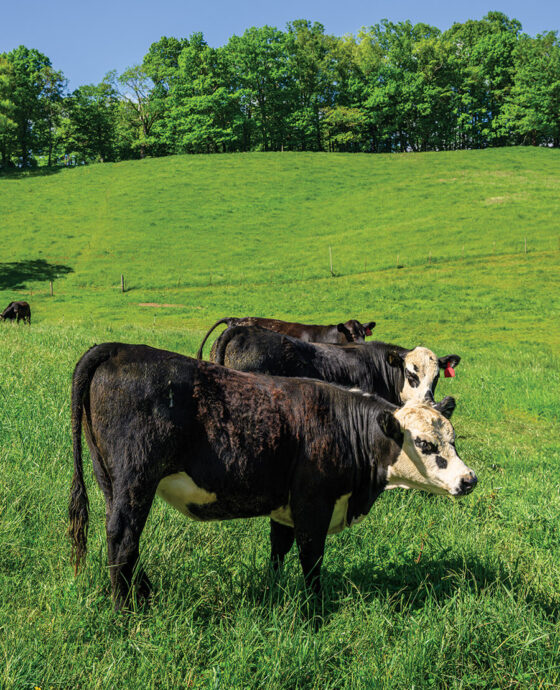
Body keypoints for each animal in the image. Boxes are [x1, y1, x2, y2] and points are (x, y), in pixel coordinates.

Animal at [68, 342, 476, 610]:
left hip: (112, 481)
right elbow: (311, 560)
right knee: (122, 538)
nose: (469, 479)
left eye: (453, 439)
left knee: (125, 539)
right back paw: (126, 612)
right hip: (136, 479)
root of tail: (117, 348)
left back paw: (145, 594)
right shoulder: (314, 504)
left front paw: (273, 592)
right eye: (423, 443)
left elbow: (278, 550)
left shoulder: (286, 508)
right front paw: (314, 612)